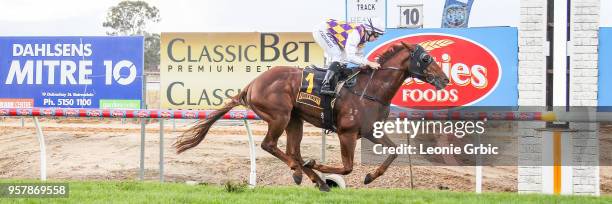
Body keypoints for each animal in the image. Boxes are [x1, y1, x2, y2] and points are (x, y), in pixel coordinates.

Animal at [173, 41, 450, 191]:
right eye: (426, 58)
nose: (445, 79)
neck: (370, 89)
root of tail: (252, 84)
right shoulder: (347, 133)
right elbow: (347, 167)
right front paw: (318, 165)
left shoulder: (369, 131)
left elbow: (394, 151)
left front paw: (370, 176)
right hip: (280, 116)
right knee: (270, 145)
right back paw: (302, 171)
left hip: (295, 120)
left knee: (292, 150)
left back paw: (314, 179)